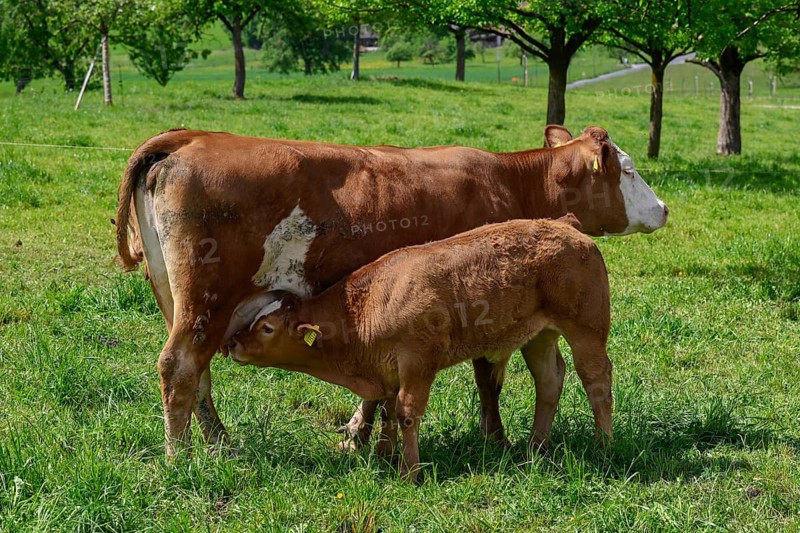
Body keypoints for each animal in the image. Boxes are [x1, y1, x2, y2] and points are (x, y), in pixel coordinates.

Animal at [225, 218, 613, 481]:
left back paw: (603, 443)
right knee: (549, 381)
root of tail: (565, 225)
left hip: (587, 330)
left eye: (267, 327)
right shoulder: (387, 369)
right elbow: (386, 411)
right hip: (538, 336)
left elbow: (406, 412)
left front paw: (409, 471)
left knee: (597, 382)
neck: (366, 306)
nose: (233, 343)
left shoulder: (418, 363)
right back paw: (535, 447)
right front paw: (384, 454)